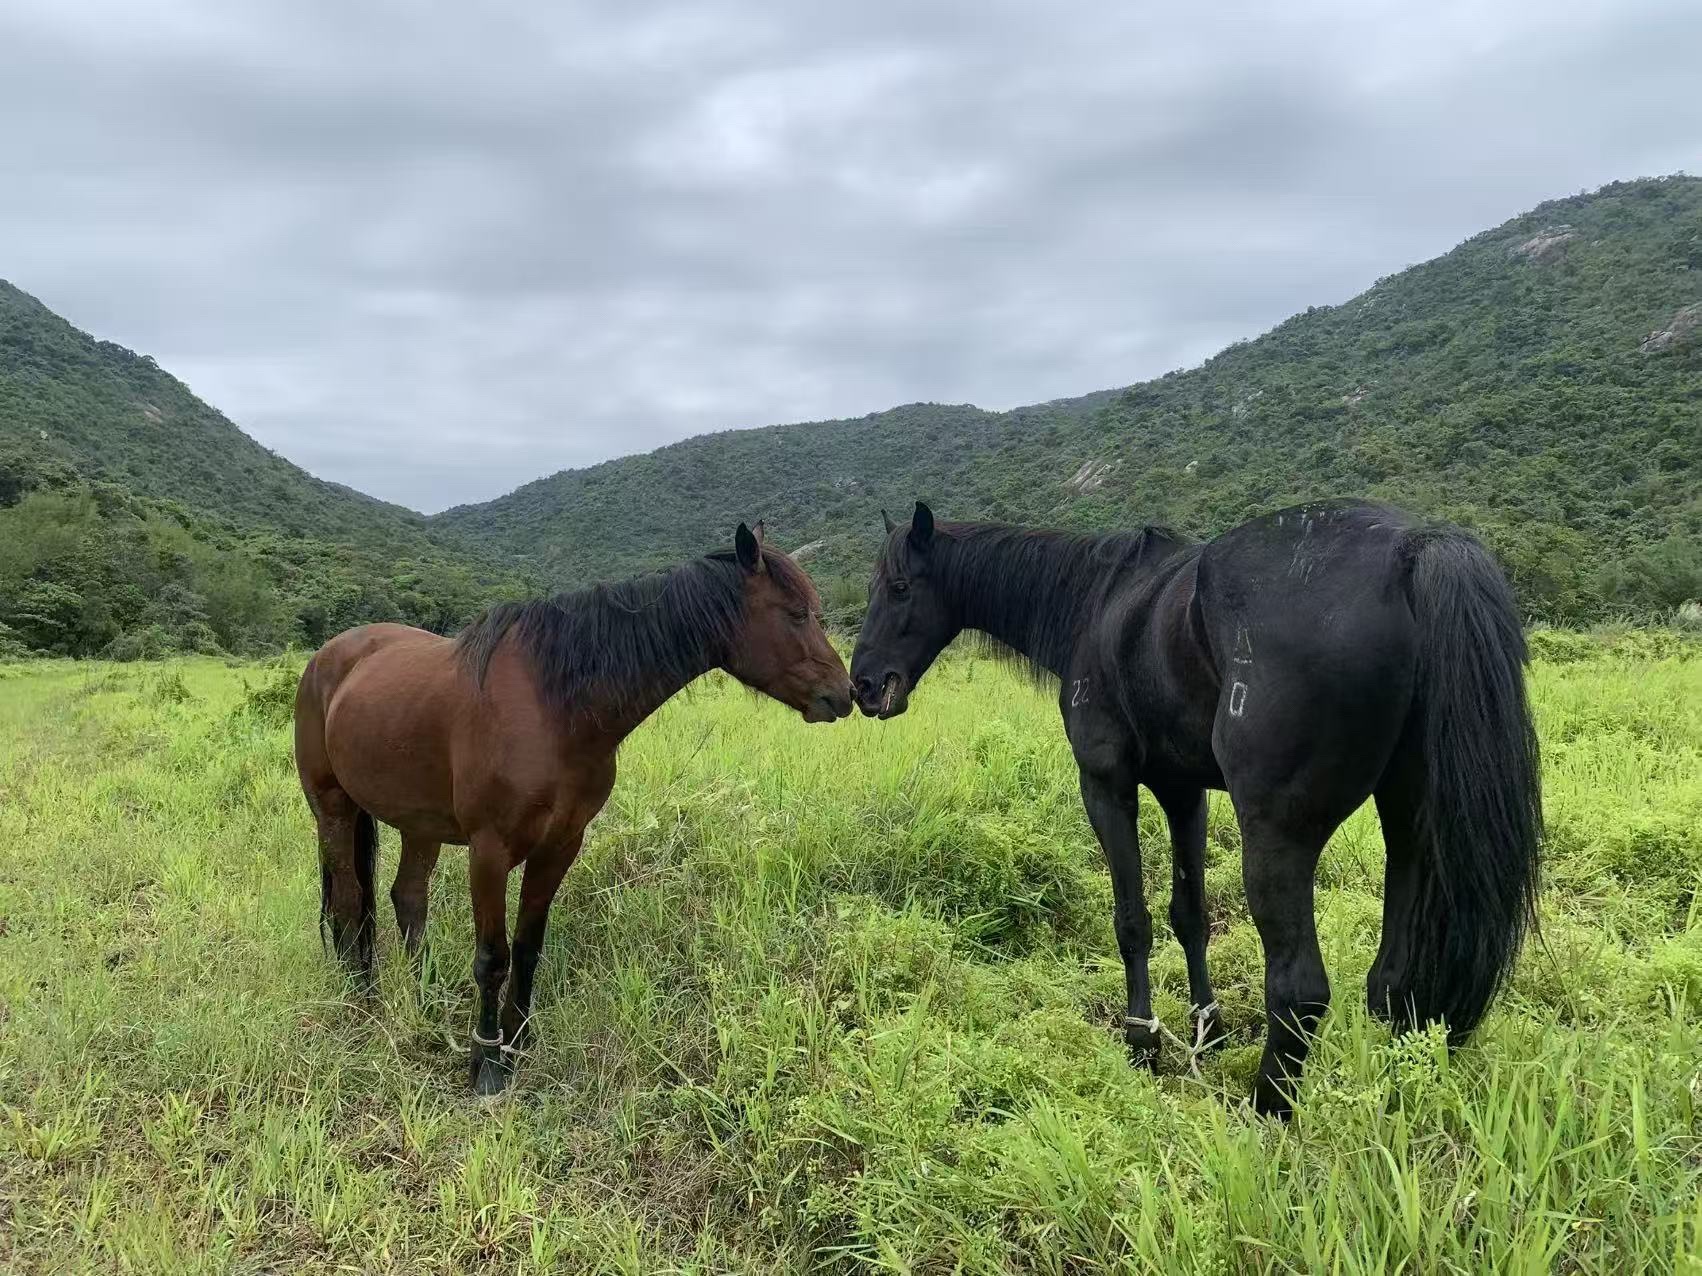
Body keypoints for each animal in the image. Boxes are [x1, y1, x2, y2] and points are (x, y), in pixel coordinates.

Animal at [294, 522, 853, 1094]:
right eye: (797, 614)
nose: (846, 693)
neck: (553, 708)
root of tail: (328, 658)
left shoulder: (560, 844)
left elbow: (528, 946)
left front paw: (518, 1041)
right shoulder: (489, 850)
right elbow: (492, 956)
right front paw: (486, 1063)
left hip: (419, 824)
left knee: (407, 899)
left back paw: (425, 1002)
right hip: (333, 809)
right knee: (348, 901)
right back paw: (363, 1002)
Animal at [849, 499, 1541, 1117]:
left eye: (900, 586)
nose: (862, 684)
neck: (1097, 602)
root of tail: (1410, 549)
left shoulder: (1106, 784)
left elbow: (1133, 920)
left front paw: (1142, 1039)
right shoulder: (1184, 793)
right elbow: (1190, 915)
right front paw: (1206, 1027)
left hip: (1276, 838)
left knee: (1299, 991)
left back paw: (1266, 1111)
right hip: (1409, 825)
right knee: (1393, 980)